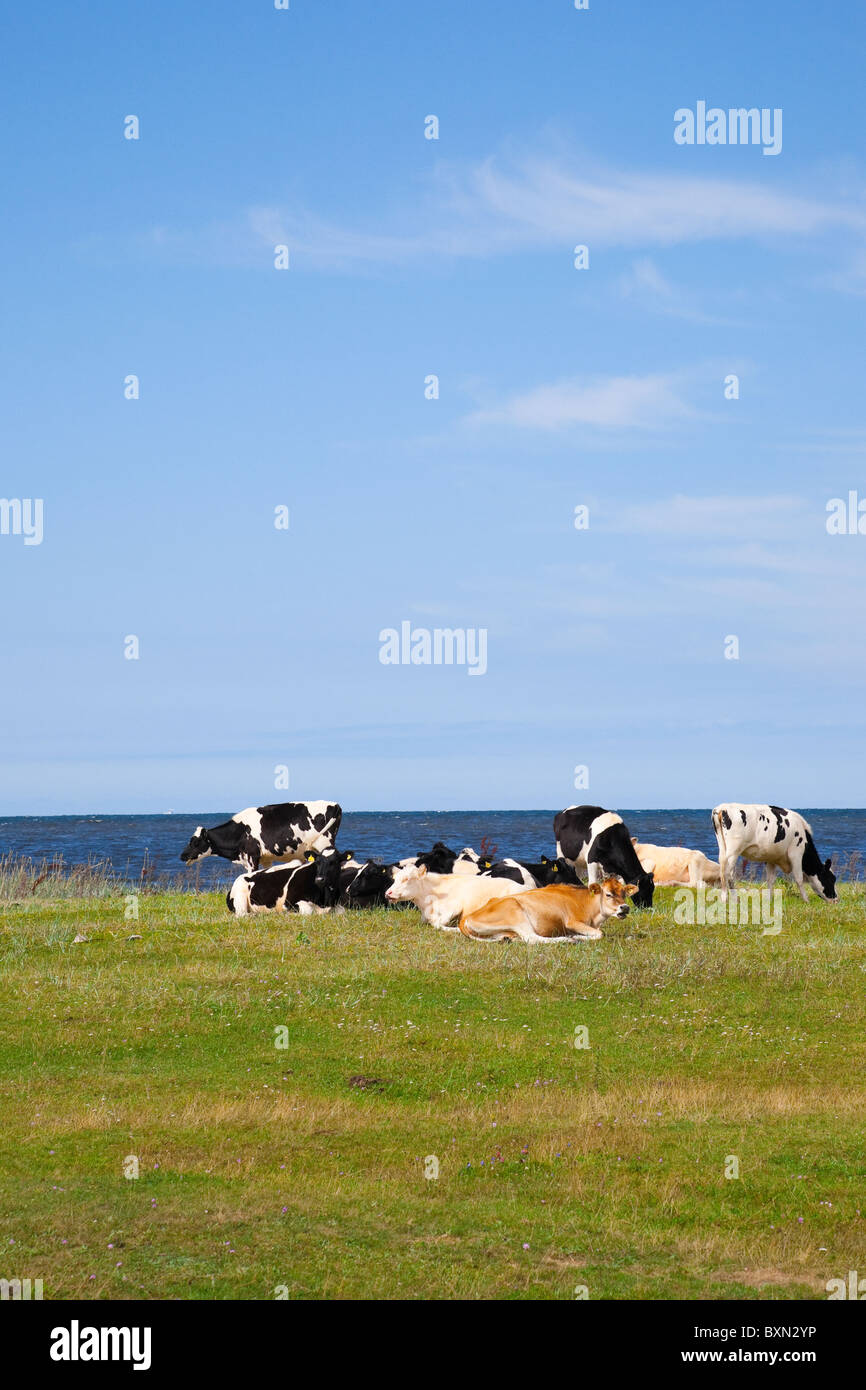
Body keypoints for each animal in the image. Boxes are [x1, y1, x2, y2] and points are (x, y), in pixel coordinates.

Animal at [180, 800, 341, 873]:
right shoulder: (266, 859)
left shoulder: (252, 856)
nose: (182, 855)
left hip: (324, 843)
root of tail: (334, 804)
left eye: (195, 842)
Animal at [458, 878, 635, 944]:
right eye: (608, 894)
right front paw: (576, 936)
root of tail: (467, 917)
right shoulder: (572, 922)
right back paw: (567, 939)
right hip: (515, 911)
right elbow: (599, 934)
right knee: (532, 938)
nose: (625, 907)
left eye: (624, 894)